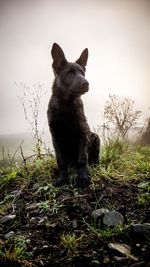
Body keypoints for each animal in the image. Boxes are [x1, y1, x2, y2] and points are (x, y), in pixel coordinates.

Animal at [47, 43, 100, 188]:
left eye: (83, 73)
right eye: (69, 73)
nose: (86, 83)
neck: (66, 105)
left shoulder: (83, 134)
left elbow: (82, 159)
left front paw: (82, 178)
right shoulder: (56, 137)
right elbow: (61, 161)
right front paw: (62, 178)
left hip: (95, 137)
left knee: (93, 159)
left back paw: (95, 166)